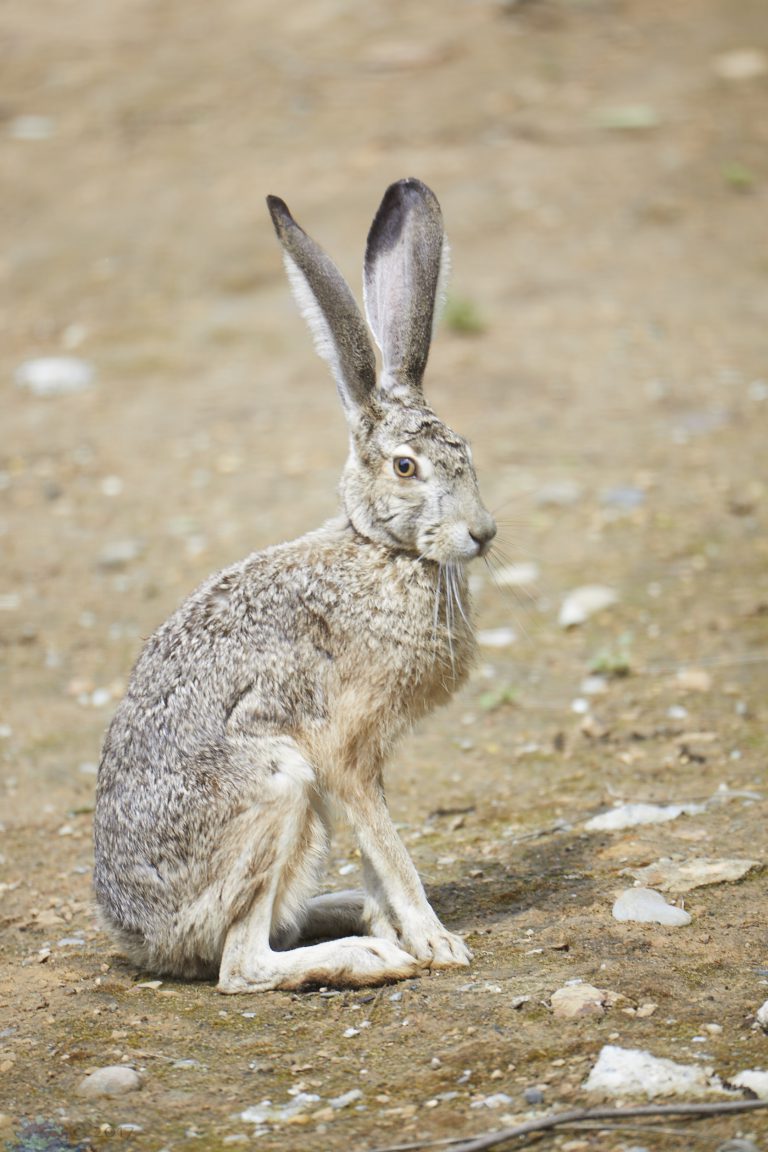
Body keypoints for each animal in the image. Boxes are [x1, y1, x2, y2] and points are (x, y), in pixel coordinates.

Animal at [93, 178, 497, 993]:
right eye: (406, 467)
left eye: (466, 451)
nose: (483, 533)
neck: (383, 553)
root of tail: (139, 938)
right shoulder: (342, 750)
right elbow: (390, 848)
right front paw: (436, 942)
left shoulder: (371, 758)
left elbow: (378, 849)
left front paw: (405, 922)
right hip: (276, 790)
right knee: (241, 963)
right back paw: (370, 956)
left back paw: (360, 920)